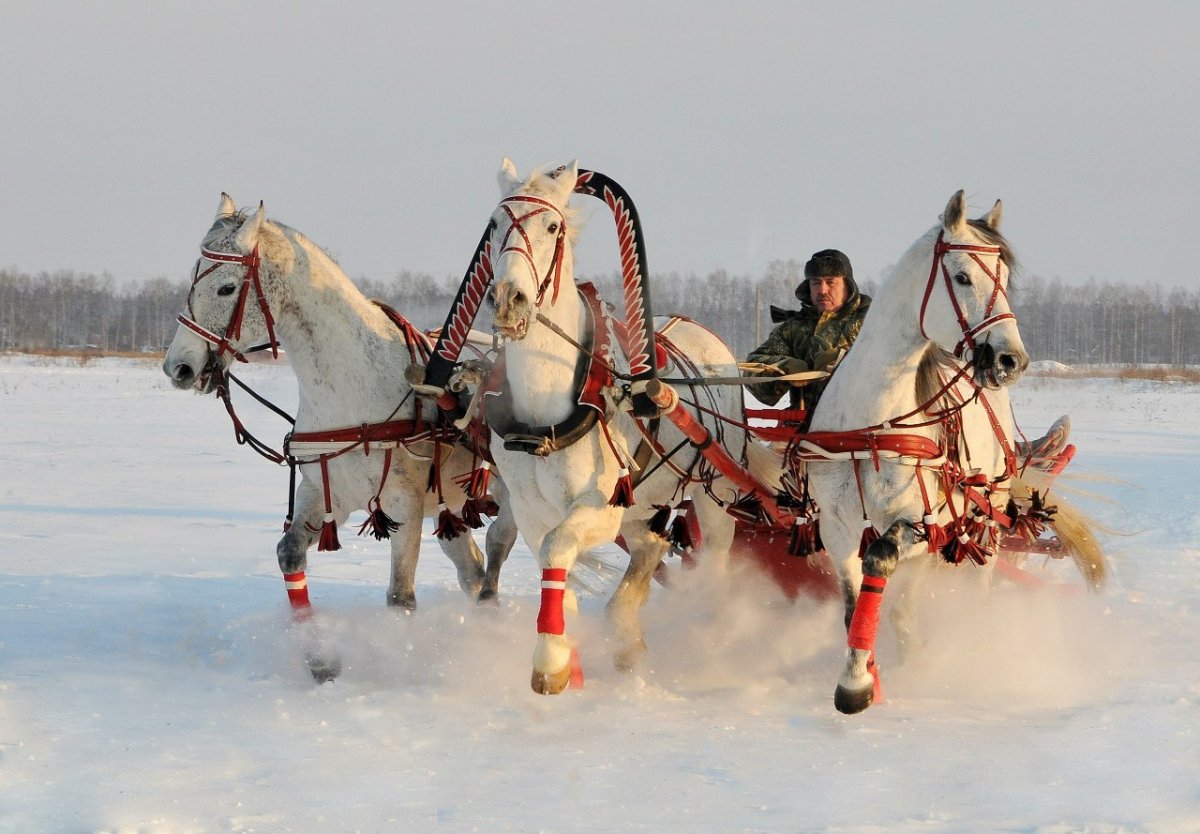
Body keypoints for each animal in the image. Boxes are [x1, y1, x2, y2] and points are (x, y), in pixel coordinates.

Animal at [163, 194, 516, 676]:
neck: (350, 386)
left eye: (226, 289)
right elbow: (289, 555)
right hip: (451, 510)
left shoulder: (402, 507)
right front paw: (319, 660)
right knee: (474, 571)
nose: (177, 366)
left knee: (504, 548)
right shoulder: (322, 493)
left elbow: (400, 598)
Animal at [482, 159, 744, 696]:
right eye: (494, 225)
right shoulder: (530, 508)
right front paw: (569, 656)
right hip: (642, 507)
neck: (543, 412)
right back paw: (628, 636)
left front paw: (550, 662)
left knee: (714, 557)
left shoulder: (599, 507)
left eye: (553, 226)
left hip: (715, 494)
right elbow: (551, 561)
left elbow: (558, 547)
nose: (509, 299)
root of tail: (703, 333)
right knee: (649, 547)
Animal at [801, 192, 1036, 715]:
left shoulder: (918, 518)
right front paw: (866, 673)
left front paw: (855, 684)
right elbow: (853, 604)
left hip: (983, 514)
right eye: (963, 277)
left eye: (1005, 278)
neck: (876, 425)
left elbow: (880, 562)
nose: (1011, 360)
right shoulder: (836, 526)